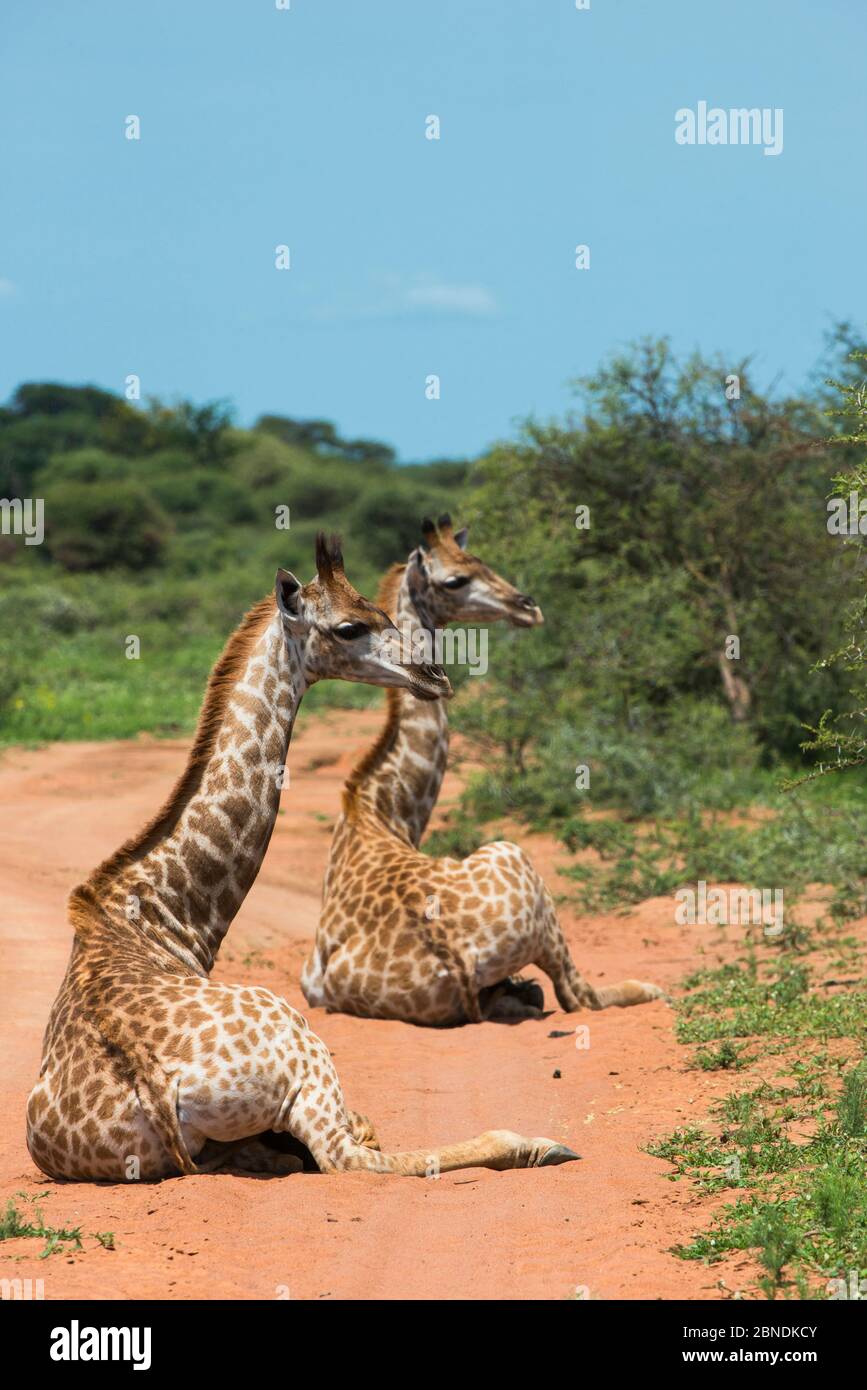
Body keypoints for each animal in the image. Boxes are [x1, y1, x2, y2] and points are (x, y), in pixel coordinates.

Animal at [25, 536, 575, 1178]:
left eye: (382, 614)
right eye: (348, 628)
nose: (433, 675)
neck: (160, 916)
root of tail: (155, 1087)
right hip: (302, 1033)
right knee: (350, 1157)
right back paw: (536, 1141)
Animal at [300, 517, 664, 1028]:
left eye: (482, 561)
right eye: (456, 580)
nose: (528, 607)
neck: (380, 809)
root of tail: (453, 955)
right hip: (520, 865)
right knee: (580, 995)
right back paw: (648, 988)